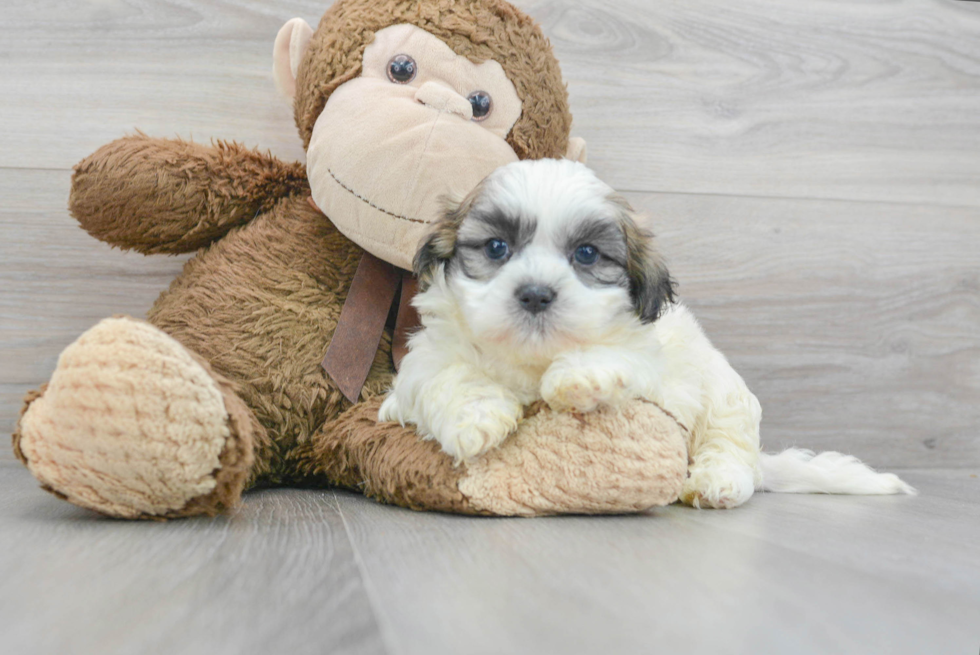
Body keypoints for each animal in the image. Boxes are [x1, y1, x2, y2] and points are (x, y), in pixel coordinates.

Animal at [378, 158, 916, 508]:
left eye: (587, 254)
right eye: (496, 247)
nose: (535, 294)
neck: (533, 358)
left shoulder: (655, 363)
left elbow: (619, 356)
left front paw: (577, 378)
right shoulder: (423, 363)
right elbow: (445, 375)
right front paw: (476, 419)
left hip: (725, 397)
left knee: (730, 445)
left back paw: (718, 481)